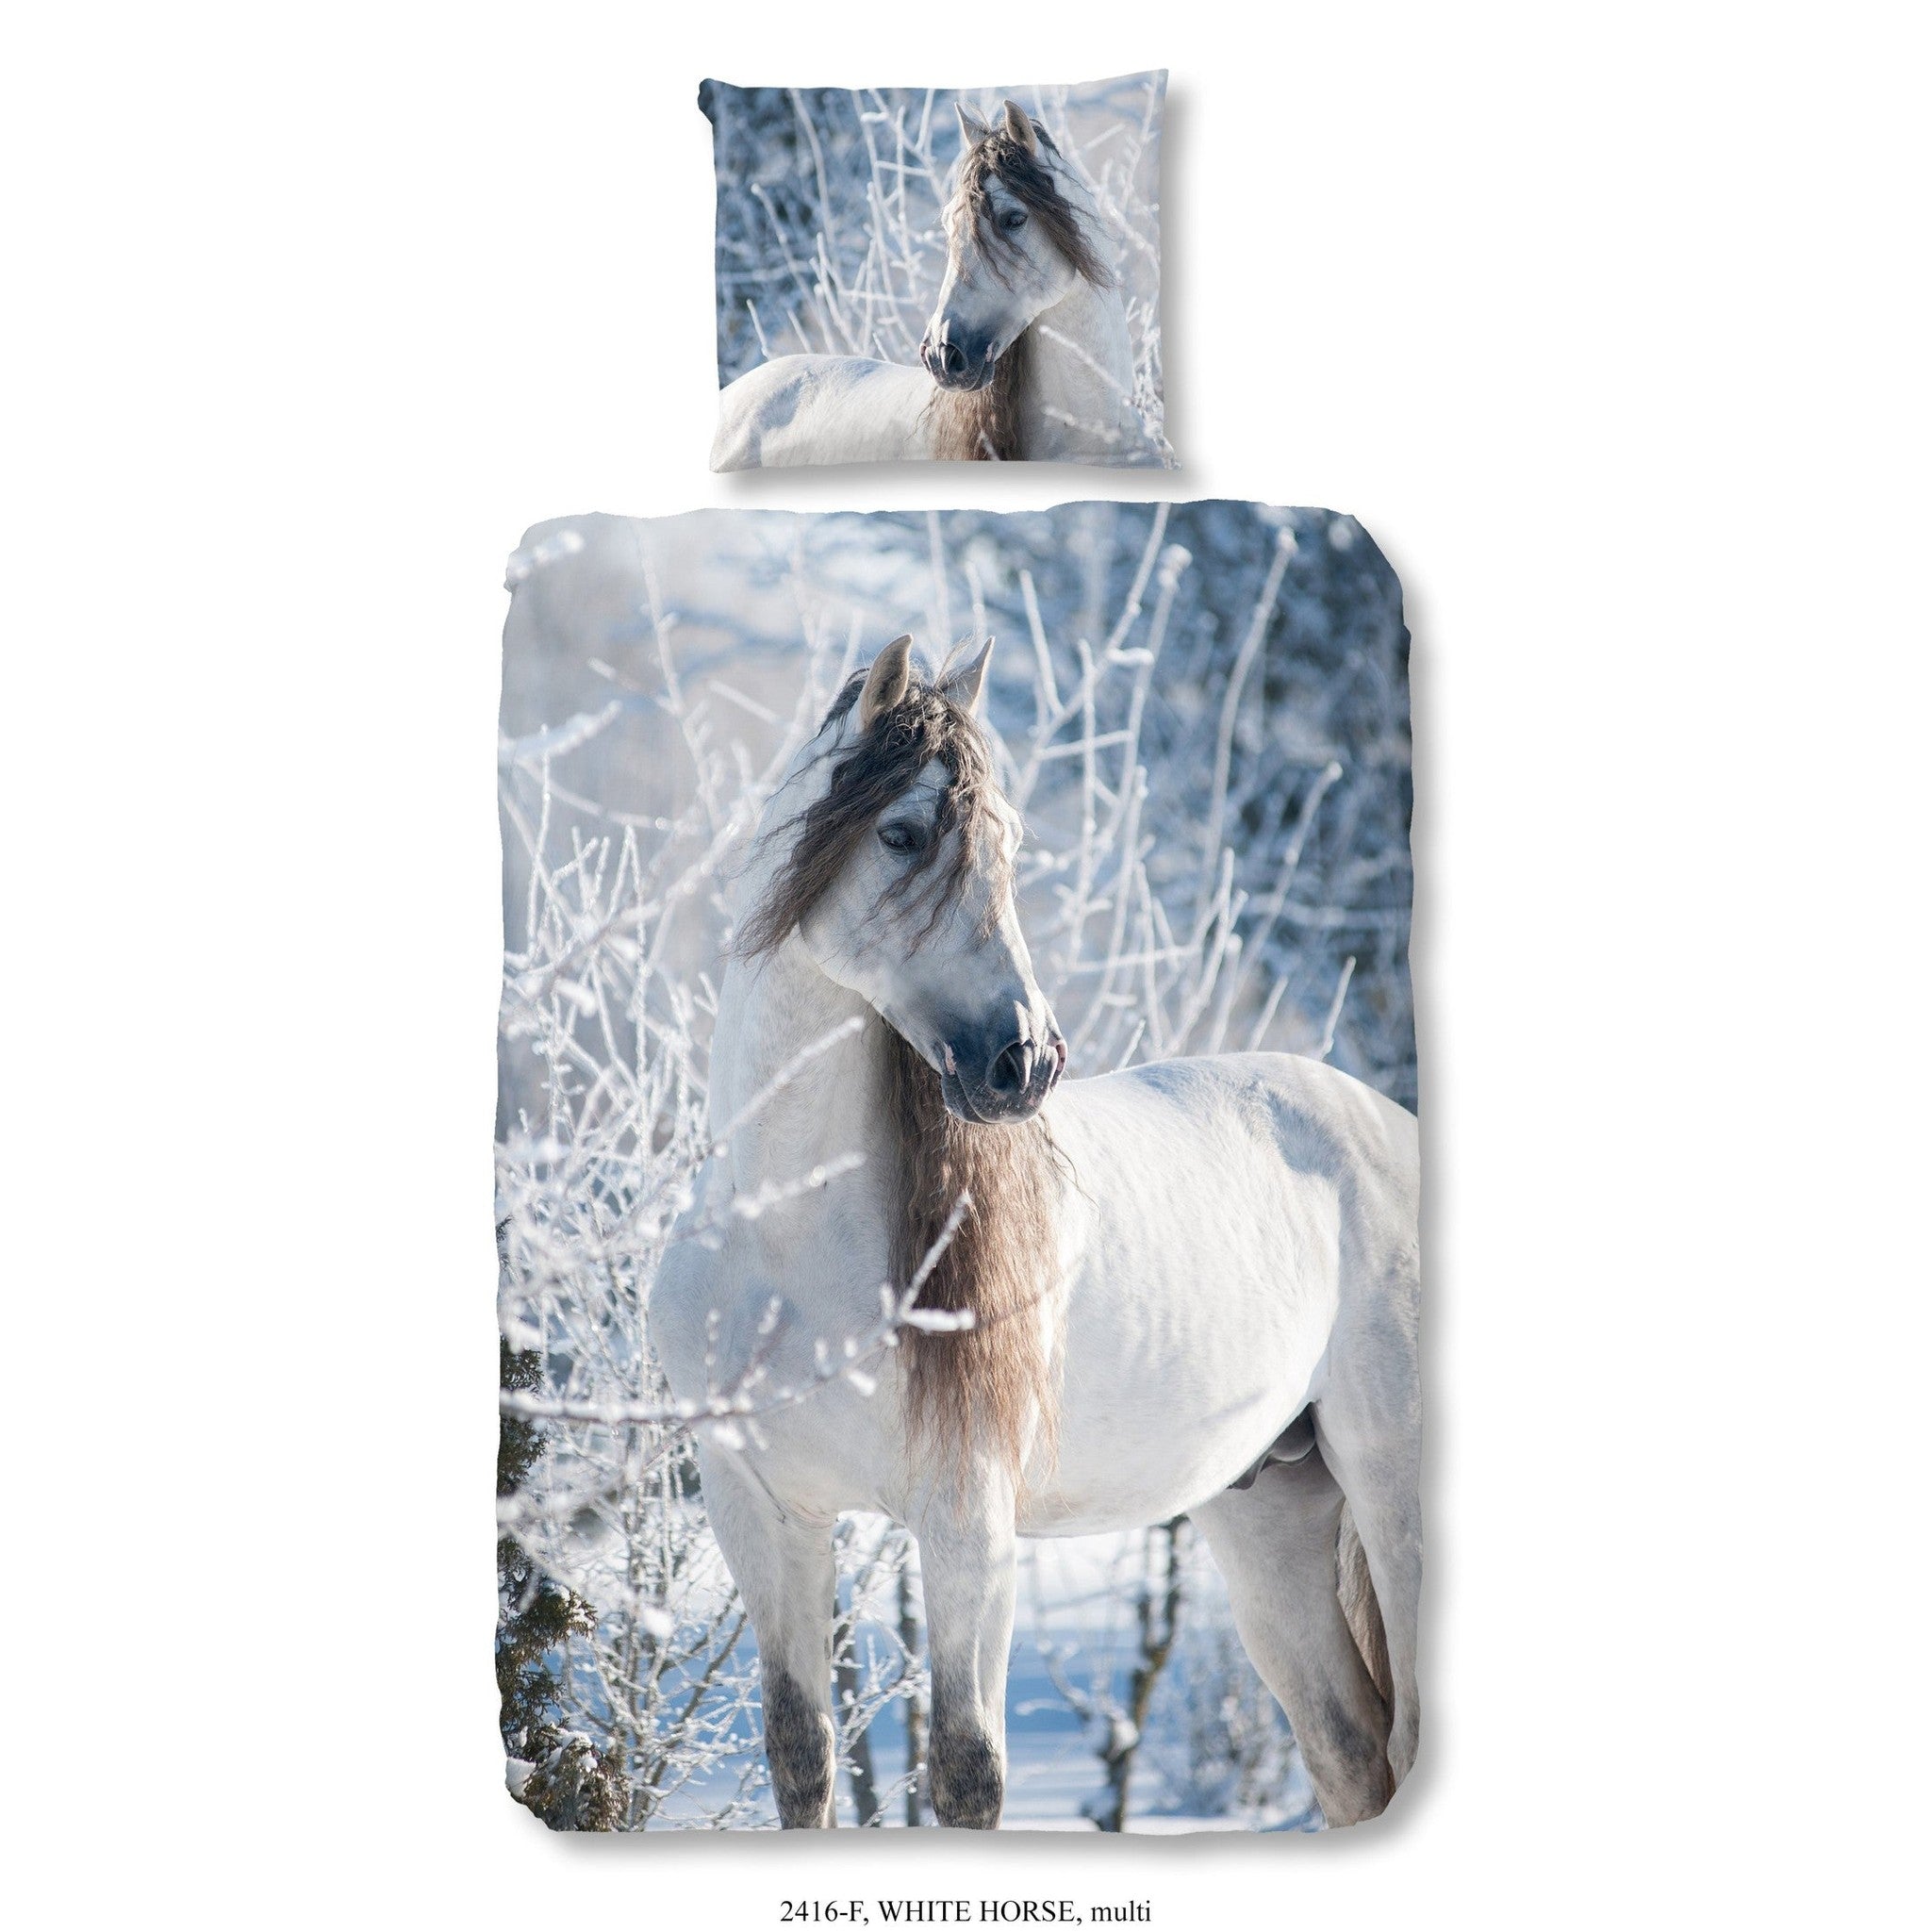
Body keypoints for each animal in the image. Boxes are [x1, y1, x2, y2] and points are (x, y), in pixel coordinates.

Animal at [648, 638, 1421, 1830]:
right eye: (903, 832)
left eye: (1008, 840)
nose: (1026, 1061)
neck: (783, 1239)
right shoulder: (762, 1514)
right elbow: (801, 1753)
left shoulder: (968, 1520)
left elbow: (967, 1769)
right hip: (1269, 1514)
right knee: (1350, 1753)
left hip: (1395, 1497)